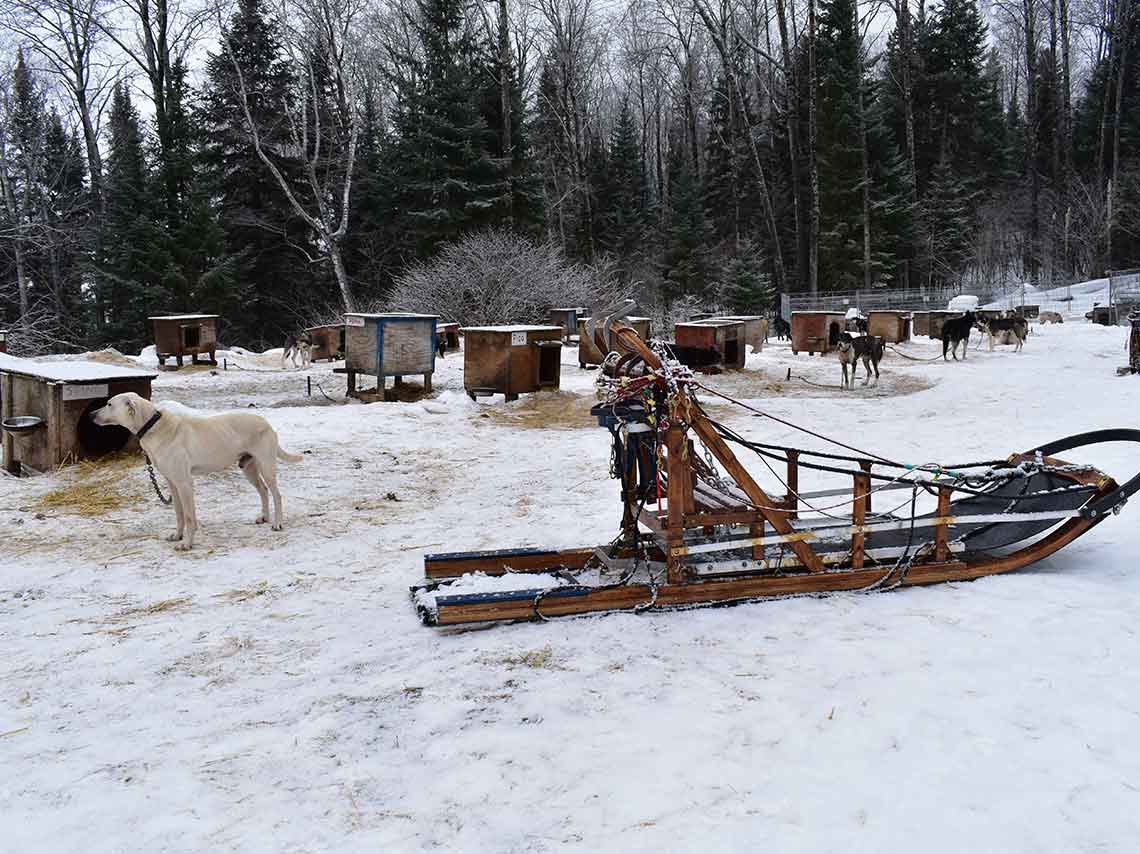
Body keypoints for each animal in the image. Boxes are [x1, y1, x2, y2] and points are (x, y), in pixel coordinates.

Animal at [91, 392, 303, 549]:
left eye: (109, 404)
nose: (90, 415)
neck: (152, 426)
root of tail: (267, 423)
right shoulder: (172, 484)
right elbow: (179, 514)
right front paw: (178, 536)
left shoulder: (184, 483)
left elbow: (189, 516)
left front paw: (187, 543)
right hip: (248, 468)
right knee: (263, 491)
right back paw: (265, 517)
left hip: (267, 468)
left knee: (276, 494)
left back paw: (277, 523)